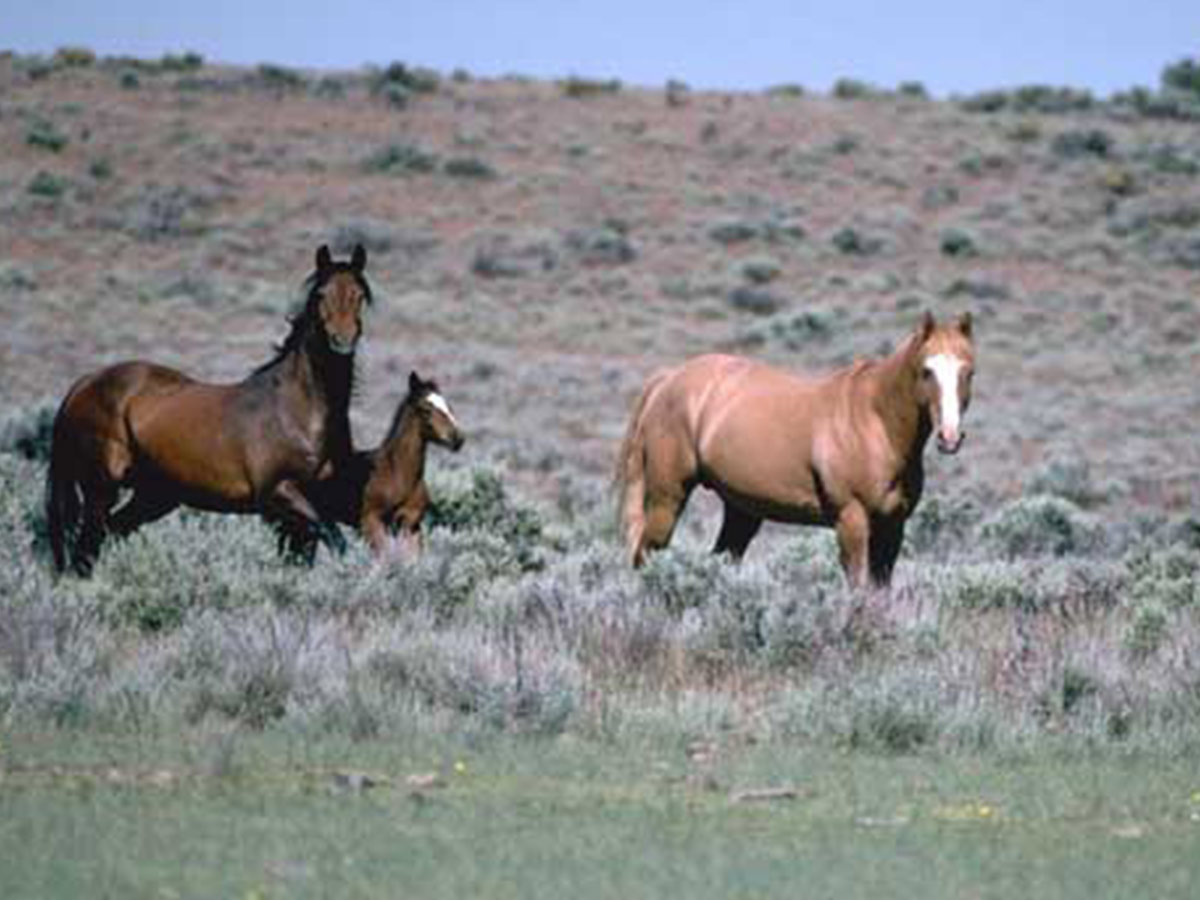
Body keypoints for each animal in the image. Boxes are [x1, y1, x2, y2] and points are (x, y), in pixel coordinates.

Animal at [45, 244, 373, 575]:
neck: (297, 412)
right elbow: (335, 539)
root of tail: (85, 383)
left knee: (109, 534)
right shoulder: (280, 494)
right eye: (321, 294)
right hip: (101, 490)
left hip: (153, 497)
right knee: (86, 548)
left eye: (360, 294)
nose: (342, 341)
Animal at [307, 371, 464, 557]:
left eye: (449, 407)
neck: (397, 474)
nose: (457, 439)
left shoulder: (411, 524)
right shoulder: (371, 521)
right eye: (425, 409)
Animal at [615, 311, 976, 587]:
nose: (950, 436)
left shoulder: (892, 527)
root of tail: (668, 379)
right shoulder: (852, 521)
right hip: (667, 499)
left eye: (968, 371)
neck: (876, 423)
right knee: (645, 555)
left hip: (742, 510)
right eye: (927, 371)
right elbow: (858, 588)